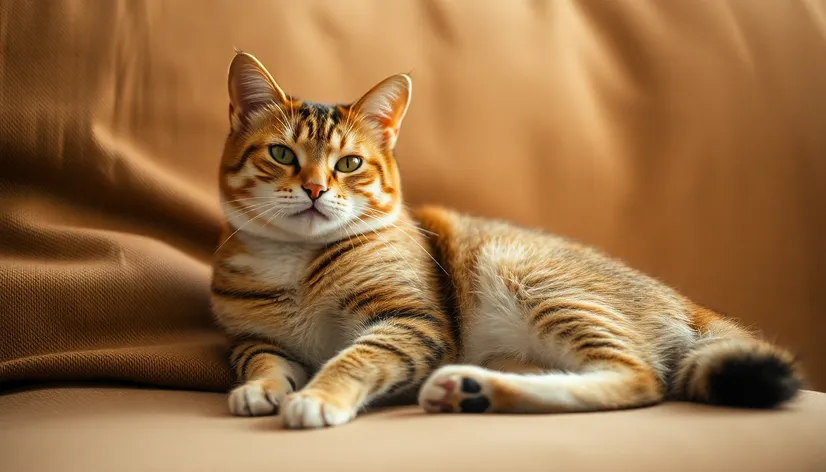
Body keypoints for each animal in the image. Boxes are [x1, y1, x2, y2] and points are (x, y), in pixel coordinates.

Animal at [211, 53, 800, 430]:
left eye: (349, 163)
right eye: (282, 154)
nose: (315, 188)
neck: (296, 262)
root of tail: (689, 303)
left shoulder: (411, 322)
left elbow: (355, 358)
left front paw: (317, 396)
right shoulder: (250, 338)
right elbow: (263, 361)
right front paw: (261, 389)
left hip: (529, 275)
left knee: (638, 379)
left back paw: (472, 389)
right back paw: (474, 390)